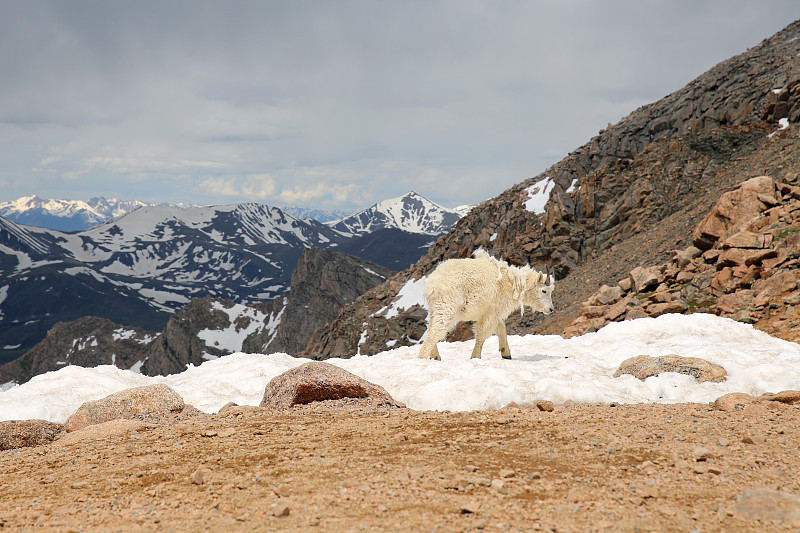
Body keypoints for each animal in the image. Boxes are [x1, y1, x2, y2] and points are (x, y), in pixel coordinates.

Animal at [418, 250, 556, 362]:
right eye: (544, 291)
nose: (551, 309)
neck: (512, 282)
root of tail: (432, 284)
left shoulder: (494, 313)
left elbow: (501, 328)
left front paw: (506, 354)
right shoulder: (491, 312)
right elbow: (482, 333)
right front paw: (475, 356)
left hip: (436, 309)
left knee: (430, 328)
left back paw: (435, 356)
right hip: (446, 306)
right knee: (435, 331)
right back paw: (422, 357)